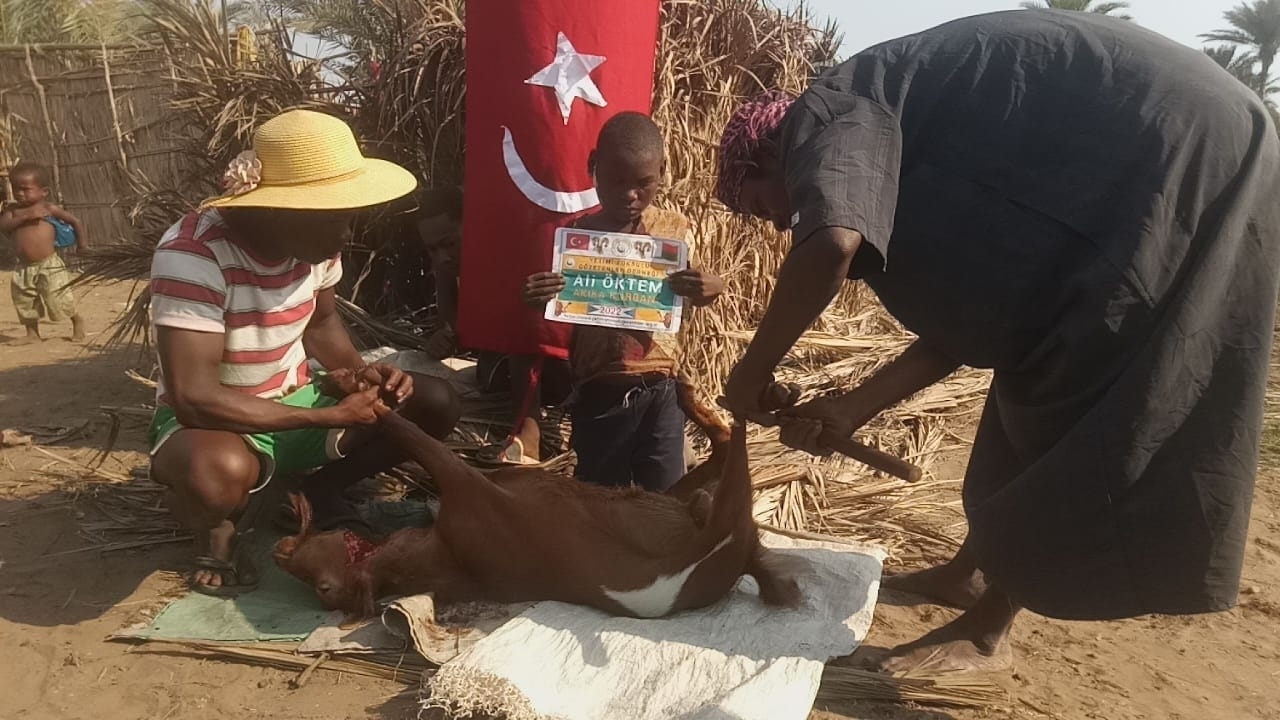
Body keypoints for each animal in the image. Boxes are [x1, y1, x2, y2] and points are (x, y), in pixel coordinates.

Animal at [274, 375, 800, 620]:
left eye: (322, 589)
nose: (281, 552)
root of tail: (742, 556)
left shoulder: (465, 479)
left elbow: (396, 422)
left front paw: (348, 382)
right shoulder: (467, 482)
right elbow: (395, 423)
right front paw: (353, 389)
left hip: (690, 498)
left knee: (728, 438)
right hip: (726, 503)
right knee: (732, 436)